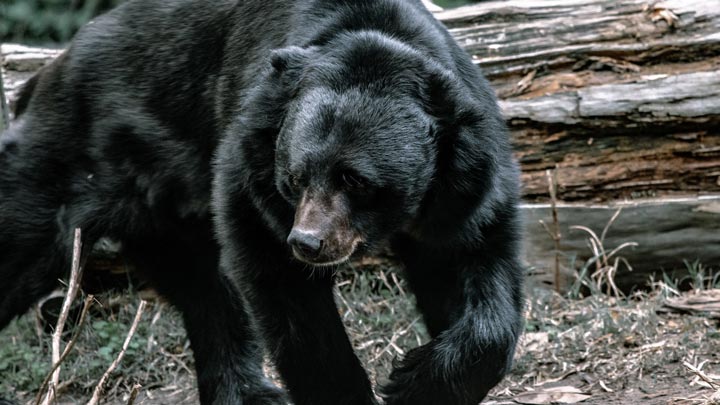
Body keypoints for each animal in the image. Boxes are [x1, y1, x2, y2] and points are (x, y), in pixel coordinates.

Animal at [0, 0, 524, 404]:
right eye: (295, 177)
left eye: (355, 180)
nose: (308, 243)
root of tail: (44, 76)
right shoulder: (251, 168)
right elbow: (287, 295)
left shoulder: (464, 185)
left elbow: (476, 269)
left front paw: (417, 380)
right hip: (65, 163)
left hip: (165, 214)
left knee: (205, 291)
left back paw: (247, 392)